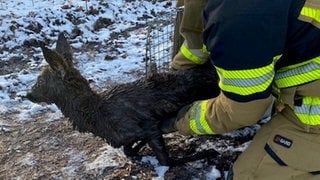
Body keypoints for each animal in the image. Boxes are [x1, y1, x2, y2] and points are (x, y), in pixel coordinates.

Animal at [26, 32, 220, 166]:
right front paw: (136, 150)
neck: (99, 119)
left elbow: (166, 161)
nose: (27, 94)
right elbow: (128, 150)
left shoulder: (147, 126)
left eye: (40, 80)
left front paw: (209, 153)